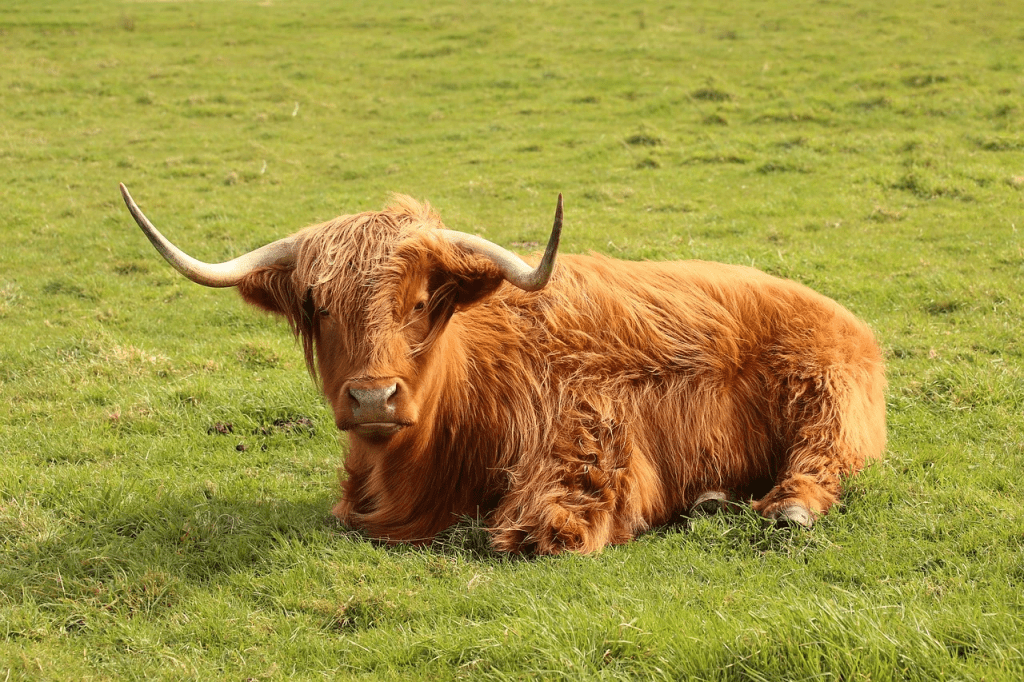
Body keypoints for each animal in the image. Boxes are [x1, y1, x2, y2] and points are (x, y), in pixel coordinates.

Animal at [119, 183, 886, 555]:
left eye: (421, 302)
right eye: (318, 306)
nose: (372, 398)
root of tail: (845, 318)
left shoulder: (588, 434)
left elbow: (545, 527)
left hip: (827, 410)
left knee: (820, 466)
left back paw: (784, 507)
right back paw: (711, 500)